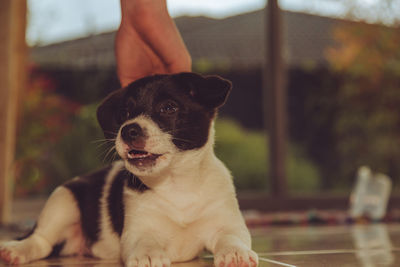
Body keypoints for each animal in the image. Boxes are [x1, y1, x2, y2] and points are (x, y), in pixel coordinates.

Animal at [0, 73, 258, 267]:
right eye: (124, 113)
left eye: (169, 108)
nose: (128, 130)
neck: (175, 182)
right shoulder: (138, 229)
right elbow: (145, 241)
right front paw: (148, 255)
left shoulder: (228, 224)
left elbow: (231, 237)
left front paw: (236, 253)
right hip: (62, 200)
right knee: (40, 240)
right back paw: (15, 251)